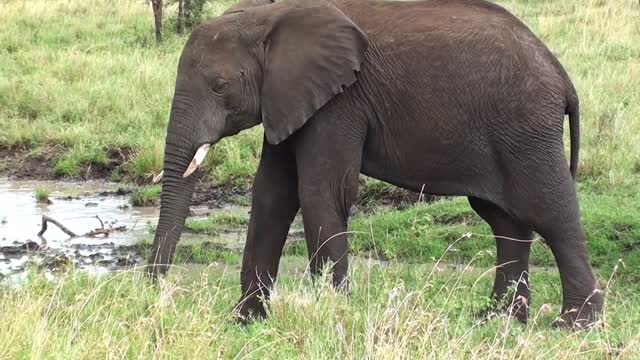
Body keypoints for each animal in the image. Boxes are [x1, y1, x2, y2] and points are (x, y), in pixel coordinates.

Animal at [149, 0, 604, 330]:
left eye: (219, 86)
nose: (153, 291)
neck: (270, 15)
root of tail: (562, 77)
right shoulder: (288, 98)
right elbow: (271, 197)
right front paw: (246, 323)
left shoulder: (339, 102)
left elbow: (320, 192)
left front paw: (331, 316)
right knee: (506, 222)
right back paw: (497, 320)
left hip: (526, 129)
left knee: (550, 214)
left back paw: (574, 326)